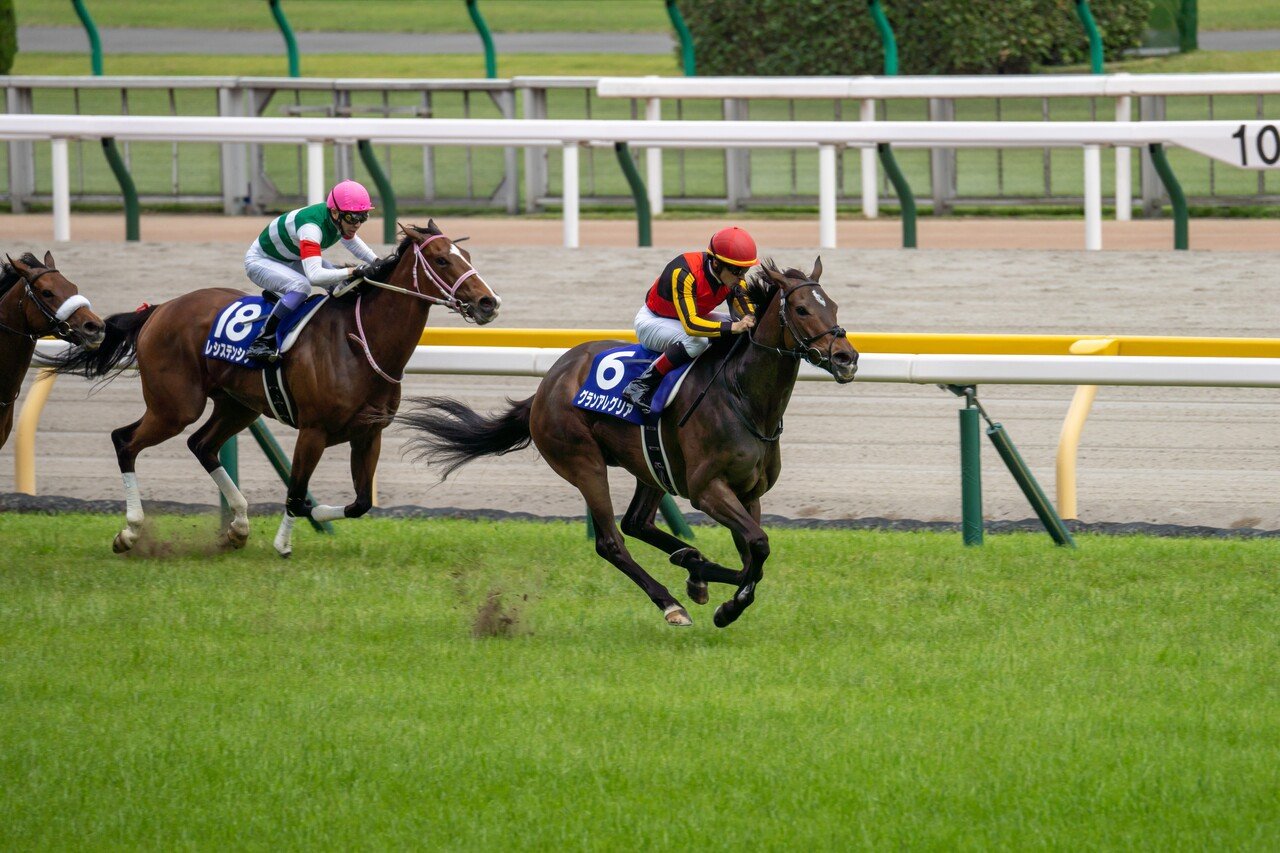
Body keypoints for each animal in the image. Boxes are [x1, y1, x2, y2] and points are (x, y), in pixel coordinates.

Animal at [51, 220, 499, 550]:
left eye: (466, 256)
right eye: (441, 260)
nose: (488, 303)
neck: (359, 341)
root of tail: (160, 309)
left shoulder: (369, 433)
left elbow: (360, 503)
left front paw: (314, 518)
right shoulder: (313, 431)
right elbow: (297, 491)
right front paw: (285, 542)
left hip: (237, 405)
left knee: (202, 445)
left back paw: (238, 528)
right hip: (174, 406)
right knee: (125, 441)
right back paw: (130, 531)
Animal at [404, 257, 855, 625]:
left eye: (832, 306)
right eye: (801, 309)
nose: (847, 357)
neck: (741, 396)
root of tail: (549, 381)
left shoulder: (749, 492)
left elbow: (753, 556)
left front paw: (710, 582)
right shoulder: (707, 490)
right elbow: (758, 547)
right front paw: (720, 596)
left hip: (650, 465)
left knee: (636, 522)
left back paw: (688, 562)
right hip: (583, 461)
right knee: (611, 540)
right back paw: (671, 602)